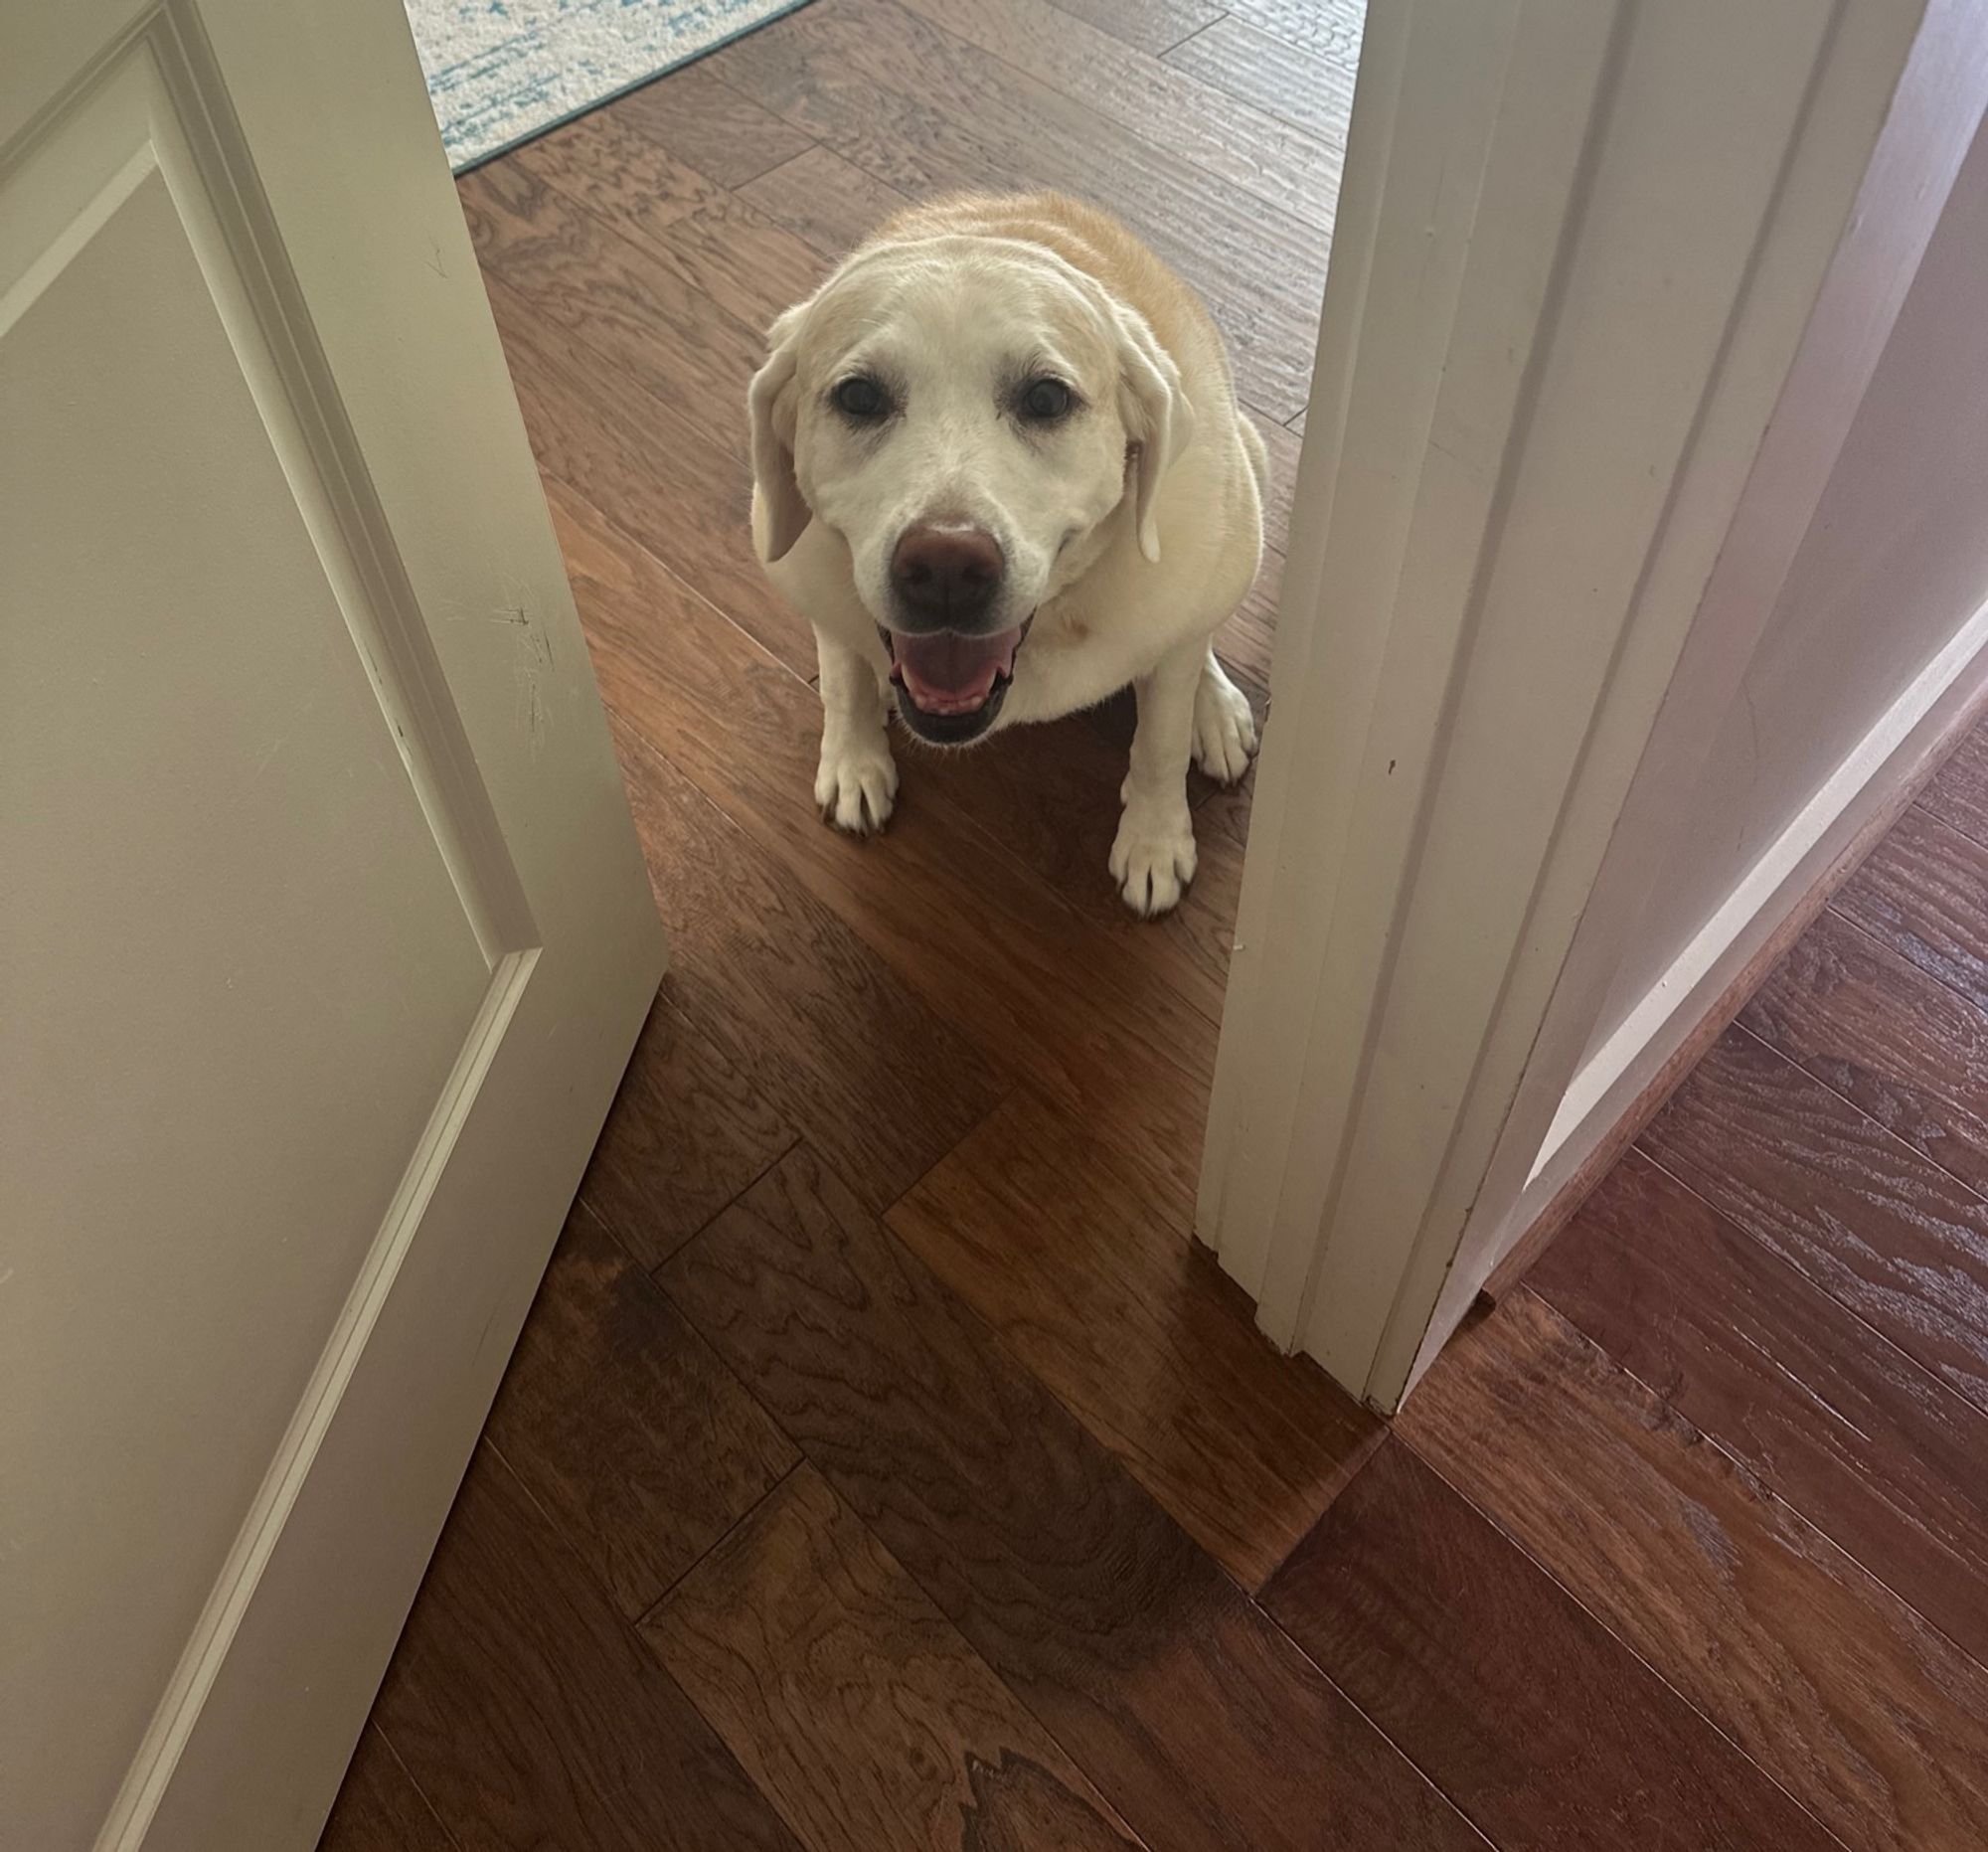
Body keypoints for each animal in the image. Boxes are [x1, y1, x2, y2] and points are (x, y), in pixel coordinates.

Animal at [747, 191, 1256, 914]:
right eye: (859, 397)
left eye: (1046, 397)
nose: (946, 569)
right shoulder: (809, 581)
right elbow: (842, 676)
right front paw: (853, 758)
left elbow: (1159, 740)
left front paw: (1155, 838)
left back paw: (1213, 711)